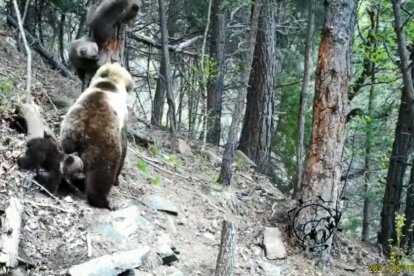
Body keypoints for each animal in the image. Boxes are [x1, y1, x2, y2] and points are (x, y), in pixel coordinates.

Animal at [59, 62, 133, 209]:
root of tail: (80, 129)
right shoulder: (122, 123)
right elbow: (124, 149)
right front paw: (117, 180)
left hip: (67, 138)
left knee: (70, 161)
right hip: (102, 143)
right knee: (102, 172)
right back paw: (103, 201)